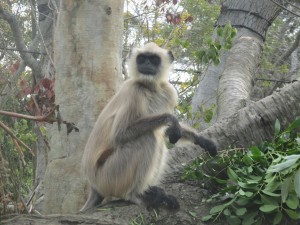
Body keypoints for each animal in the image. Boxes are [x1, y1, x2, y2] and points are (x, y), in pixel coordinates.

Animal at [79, 42, 216, 211]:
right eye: (142, 58)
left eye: (154, 59)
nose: (147, 64)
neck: (150, 87)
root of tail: (93, 186)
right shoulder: (134, 91)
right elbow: (120, 134)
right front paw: (171, 119)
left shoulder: (168, 92)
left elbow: (169, 132)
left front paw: (202, 140)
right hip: (109, 176)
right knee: (148, 137)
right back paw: (135, 195)